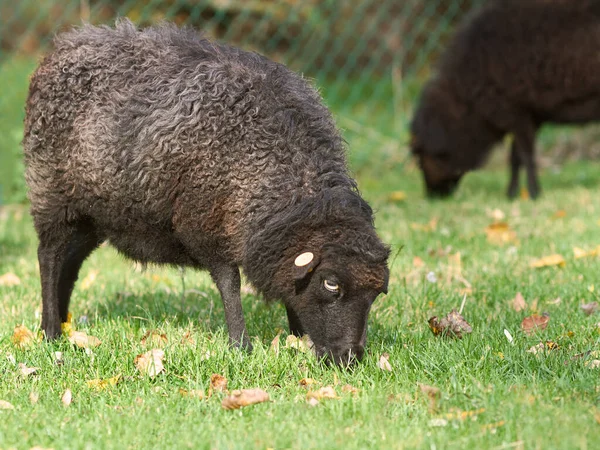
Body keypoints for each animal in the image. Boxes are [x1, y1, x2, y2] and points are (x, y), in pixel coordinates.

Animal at [23, 20, 390, 366]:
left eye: (376, 294)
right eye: (331, 284)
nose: (350, 358)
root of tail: (67, 44)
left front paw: (296, 338)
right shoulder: (207, 225)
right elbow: (230, 283)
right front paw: (241, 345)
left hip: (93, 215)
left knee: (70, 264)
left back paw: (65, 323)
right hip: (52, 195)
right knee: (49, 257)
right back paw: (50, 332)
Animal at [410, 0, 600, 199]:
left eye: (420, 157)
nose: (433, 197)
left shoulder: (515, 111)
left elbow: (526, 155)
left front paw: (534, 193)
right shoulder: (530, 115)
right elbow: (515, 157)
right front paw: (512, 194)